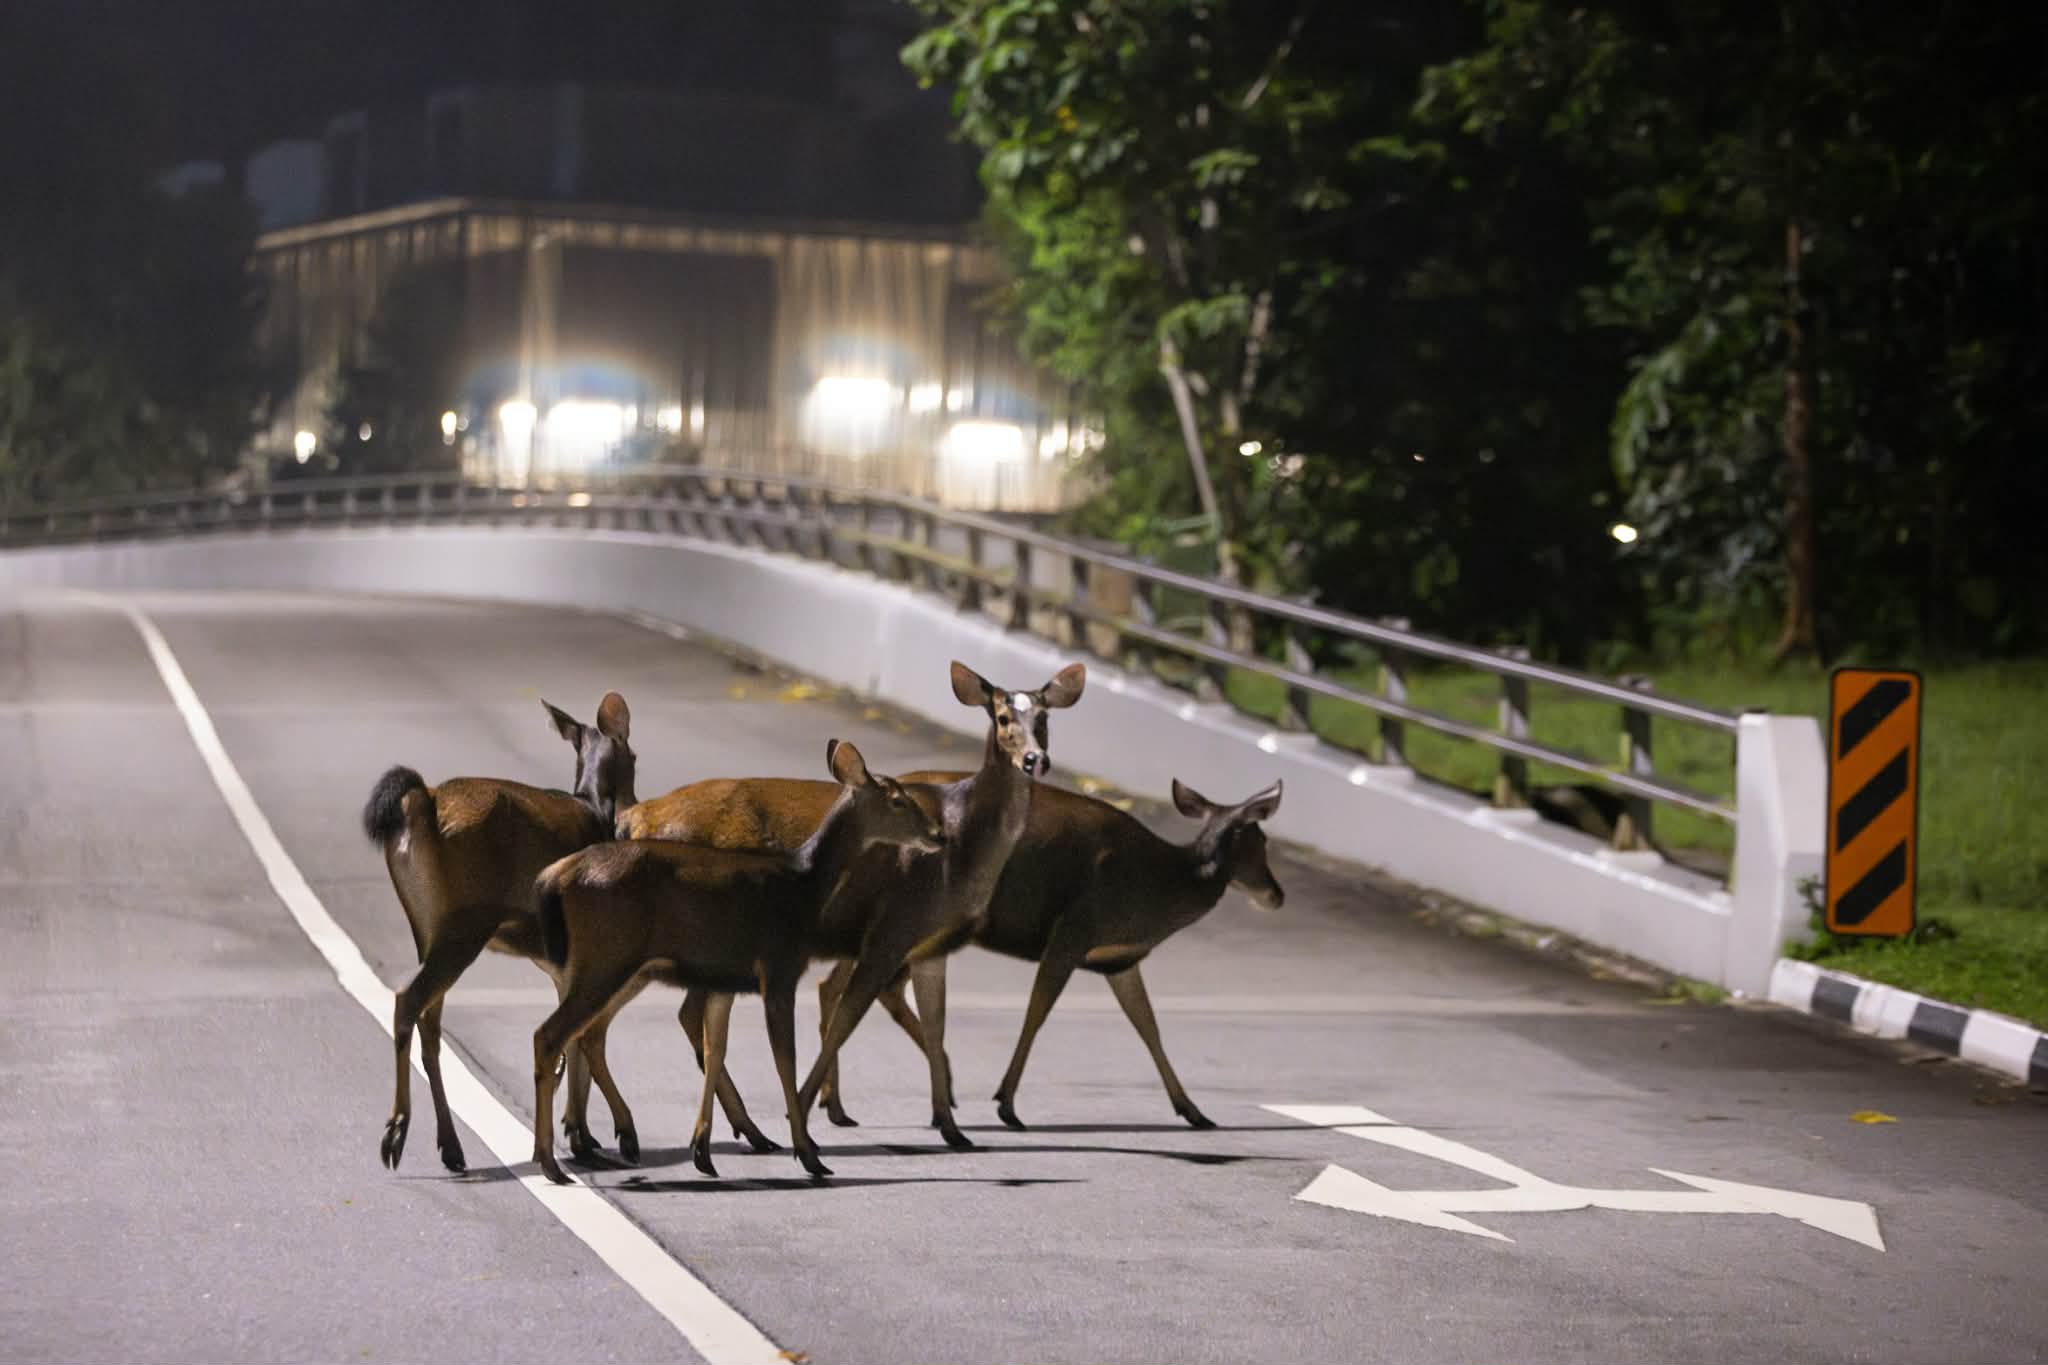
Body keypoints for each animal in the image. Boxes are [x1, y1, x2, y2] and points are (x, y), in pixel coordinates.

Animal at [360, 692, 639, 1174]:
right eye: (636, 757)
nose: (637, 803)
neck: (597, 809)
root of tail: (423, 802)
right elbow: (581, 1035)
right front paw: (599, 1135)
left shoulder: (561, 963)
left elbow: (573, 1038)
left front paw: (579, 1133)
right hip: (464, 924)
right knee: (408, 1001)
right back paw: (396, 1131)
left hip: (425, 925)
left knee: (430, 1022)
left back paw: (450, 1147)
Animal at [529, 739, 946, 1183]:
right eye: (898, 800)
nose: (939, 835)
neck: (805, 886)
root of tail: (555, 875)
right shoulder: (779, 966)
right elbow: (784, 1059)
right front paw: (808, 1154)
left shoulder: (723, 979)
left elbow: (716, 1051)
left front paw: (703, 1150)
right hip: (608, 956)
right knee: (550, 1034)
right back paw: (553, 1161)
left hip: (619, 965)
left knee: (582, 1033)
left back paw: (593, 1143)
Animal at [614, 659, 1085, 1152]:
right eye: (1003, 718)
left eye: (1045, 718)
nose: (1035, 760)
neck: (964, 854)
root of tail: (636, 816)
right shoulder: (891, 930)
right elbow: (849, 1017)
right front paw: (800, 1112)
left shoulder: (930, 944)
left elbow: (934, 1024)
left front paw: (951, 1127)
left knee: (677, 1012)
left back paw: (738, 1130)